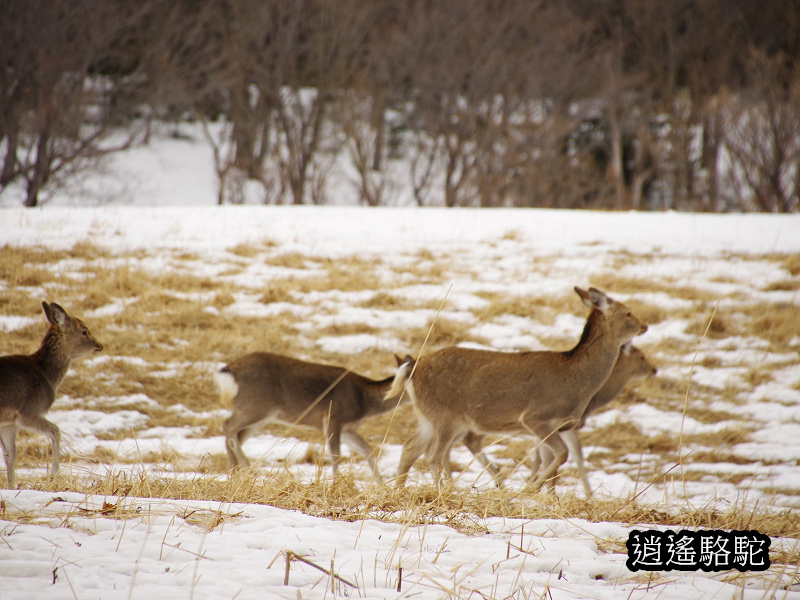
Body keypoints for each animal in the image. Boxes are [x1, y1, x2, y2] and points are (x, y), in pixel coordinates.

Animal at [0, 302, 103, 490]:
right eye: (84, 331)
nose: (99, 345)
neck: (48, 375)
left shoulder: (8, 423)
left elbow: (10, 456)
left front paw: (11, 487)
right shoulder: (28, 413)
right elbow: (56, 430)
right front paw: (53, 475)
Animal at [214, 352, 406, 482]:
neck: (364, 401)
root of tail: (228, 371)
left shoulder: (348, 429)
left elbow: (368, 450)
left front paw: (381, 485)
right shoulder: (333, 419)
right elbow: (336, 456)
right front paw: (336, 484)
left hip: (259, 415)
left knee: (235, 436)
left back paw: (235, 474)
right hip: (256, 407)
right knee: (227, 425)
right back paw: (246, 468)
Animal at [390, 288, 648, 492]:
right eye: (628, 312)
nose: (645, 325)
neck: (578, 381)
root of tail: (413, 367)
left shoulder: (558, 425)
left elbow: (552, 459)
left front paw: (542, 494)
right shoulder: (536, 416)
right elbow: (561, 454)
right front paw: (530, 489)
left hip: (429, 417)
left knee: (410, 447)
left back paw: (401, 490)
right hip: (446, 416)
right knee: (432, 454)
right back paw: (440, 492)